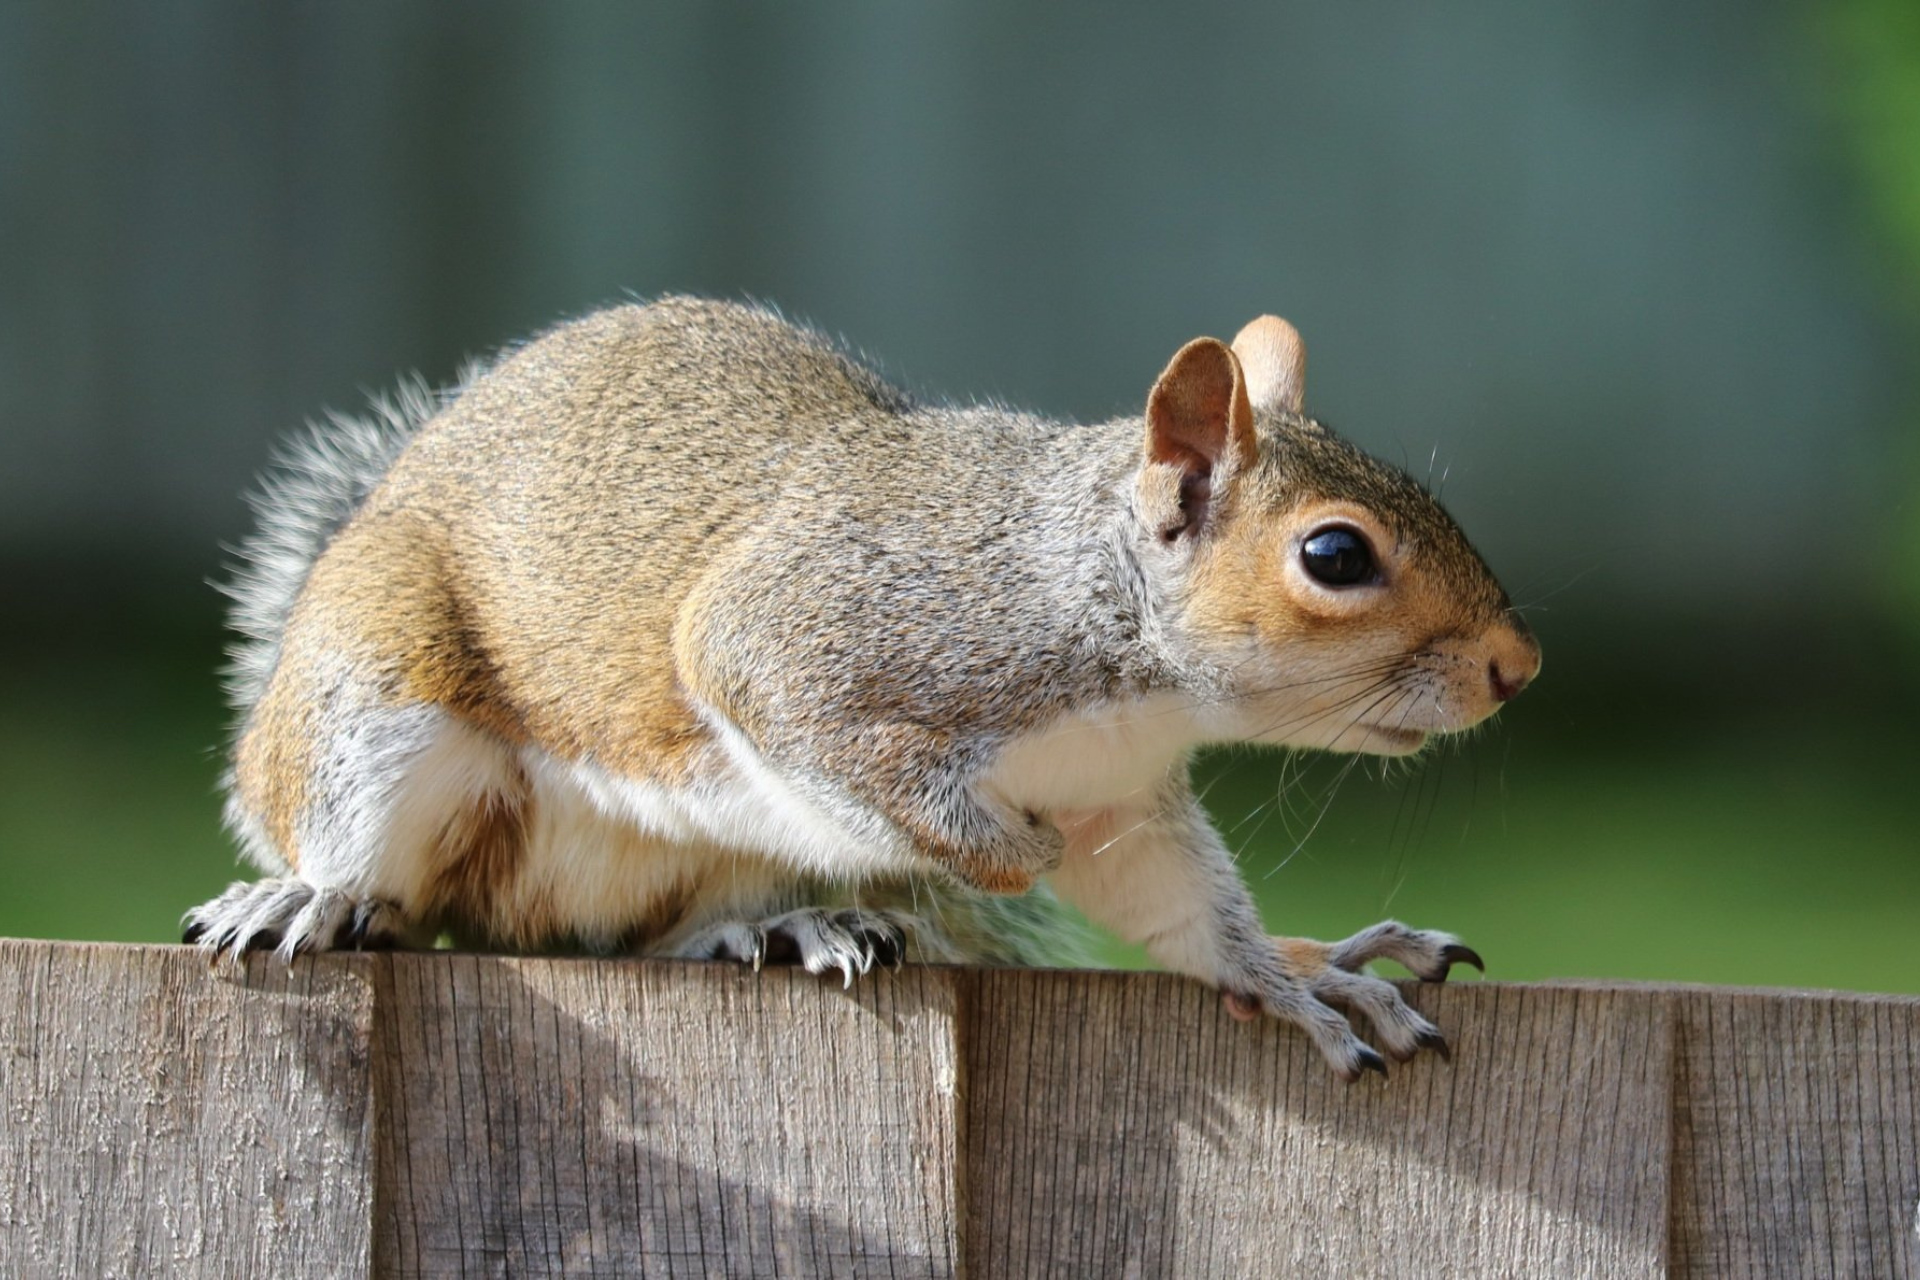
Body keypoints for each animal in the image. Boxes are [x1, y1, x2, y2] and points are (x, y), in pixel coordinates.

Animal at [191, 297, 1543, 1082]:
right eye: (1335, 554)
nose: (1516, 667)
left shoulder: (1119, 799)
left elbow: (1182, 910)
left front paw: (1297, 976)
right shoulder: (813, 637)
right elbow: (815, 724)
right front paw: (1002, 850)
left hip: (704, 861)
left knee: (638, 935)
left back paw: (780, 924)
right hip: (374, 692)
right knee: (376, 861)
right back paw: (310, 895)